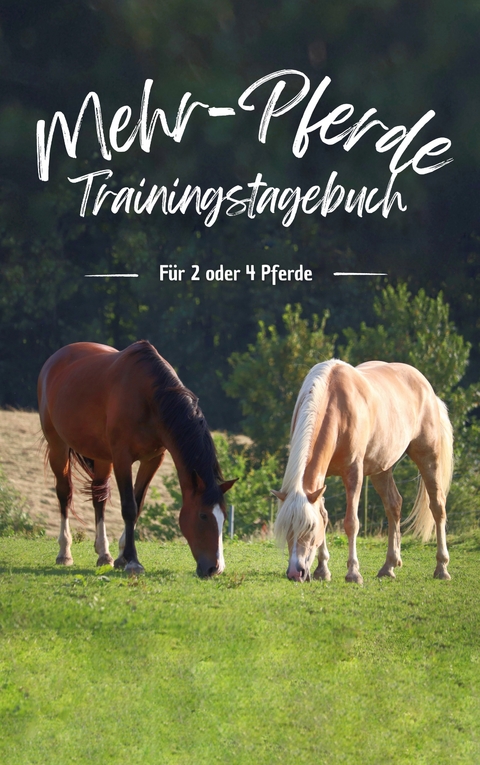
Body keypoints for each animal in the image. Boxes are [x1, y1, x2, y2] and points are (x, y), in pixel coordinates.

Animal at [37, 340, 236, 576]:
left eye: (223, 517)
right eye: (203, 516)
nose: (215, 568)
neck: (149, 398)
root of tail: (55, 359)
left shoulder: (152, 460)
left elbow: (138, 505)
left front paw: (122, 556)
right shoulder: (122, 458)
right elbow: (129, 508)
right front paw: (132, 561)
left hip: (102, 457)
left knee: (99, 498)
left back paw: (104, 554)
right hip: (58, 446)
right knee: (64, 493)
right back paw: (64, 552)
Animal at [272, 359, 454, 584]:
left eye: (309, 527)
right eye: (287, 529)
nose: (295, 573)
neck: (336, 404)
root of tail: (426, 387)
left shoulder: (354, 473)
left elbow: (351, 523)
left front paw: (353, 572)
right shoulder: (320, 480)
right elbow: (324, 515)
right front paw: (322, 570)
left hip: (428, 456)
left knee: (437, 507)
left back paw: (442, 568)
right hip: (382, 468)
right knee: (394, 505)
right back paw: (389, 566)